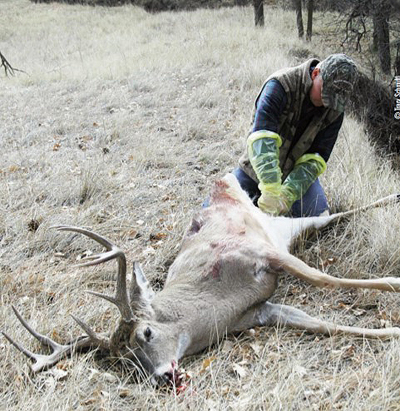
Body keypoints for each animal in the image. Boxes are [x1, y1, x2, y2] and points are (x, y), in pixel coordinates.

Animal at [2, 173, 400, 386]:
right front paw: (391, 332)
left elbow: (325, 279)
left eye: (146, 333)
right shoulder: (258, 312)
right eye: (127, 363)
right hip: (287, 228)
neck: (217, 303)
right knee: (333, 217)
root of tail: (221, 182)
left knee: (332, 216)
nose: (162, 375)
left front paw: (394, 283)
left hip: (279, 226)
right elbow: (320, 324)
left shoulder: (259, 250)